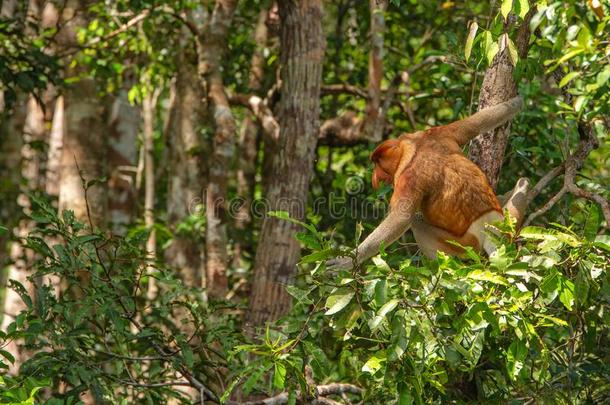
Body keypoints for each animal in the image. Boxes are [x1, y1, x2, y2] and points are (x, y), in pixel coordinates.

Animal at [326, 96, 528, 270]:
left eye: (378, 164)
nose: (375, 177)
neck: (413, 148)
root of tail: (489, 230)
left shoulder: (407, 178)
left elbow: (401, 218)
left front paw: (345, 262)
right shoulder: (437, 132)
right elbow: (478, 122)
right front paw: (519, 100)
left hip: (465, 244)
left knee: (416, 222)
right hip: (507, 222)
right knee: (523, 182)